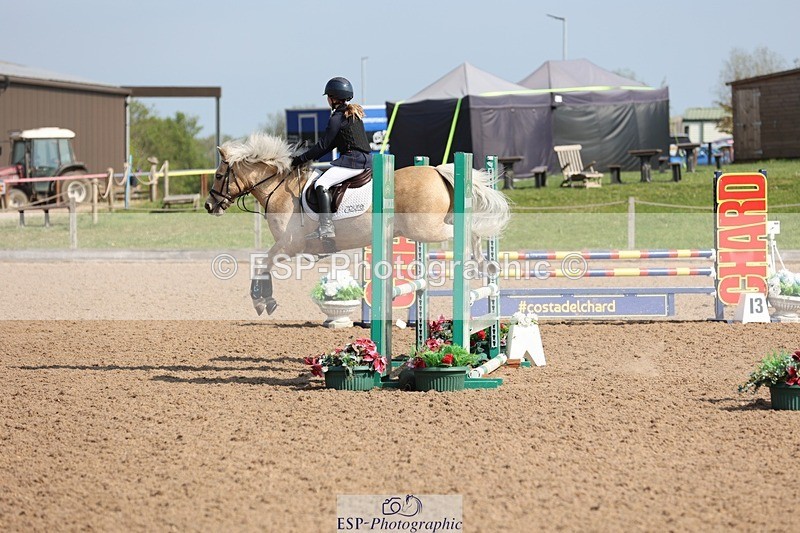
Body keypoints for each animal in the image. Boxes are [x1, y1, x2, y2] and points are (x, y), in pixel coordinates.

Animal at [204, 132, 510, 316]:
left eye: (219, 176)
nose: (209, 206)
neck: (278, 188)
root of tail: (436, 170)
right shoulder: (288, 246)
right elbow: (262, 265)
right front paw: (265, 299)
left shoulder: (289, 245)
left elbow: (261, 265)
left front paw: (262, 300)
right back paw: (485, 265)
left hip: (427, 229)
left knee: (468, 229)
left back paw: (478, 262)